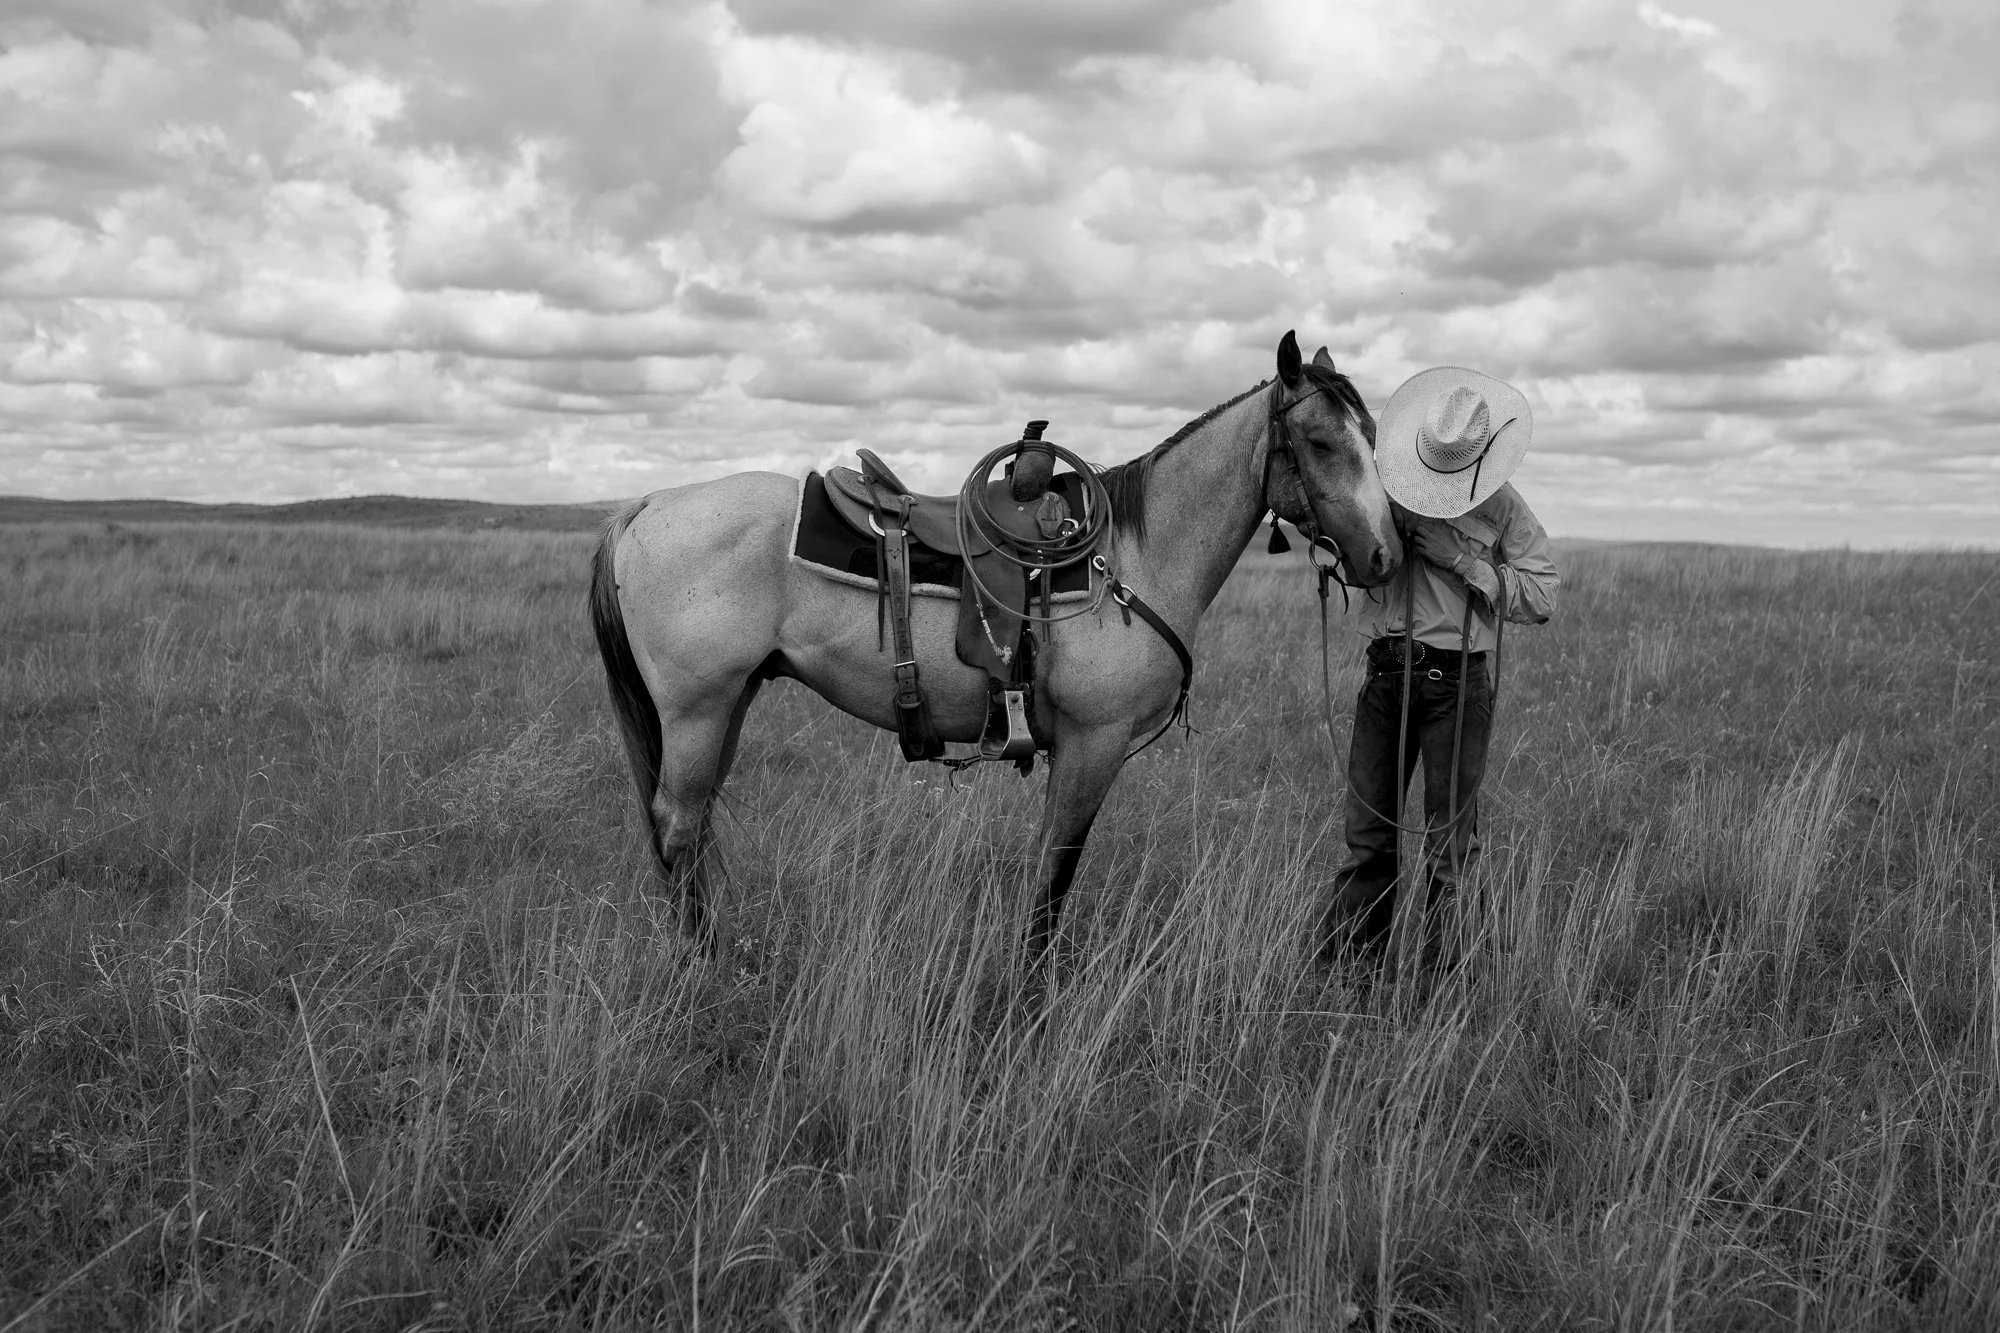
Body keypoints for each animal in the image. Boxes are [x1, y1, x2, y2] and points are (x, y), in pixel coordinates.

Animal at [589, 331, 1401, 963]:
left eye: (1370, 438)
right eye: (1321, 442)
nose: (1385, 555)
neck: (1135, 557)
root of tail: (647, 505)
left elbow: (1049, 865)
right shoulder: (1094, 742)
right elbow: (1055, 874)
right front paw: (1030, 987)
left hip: (726, 706)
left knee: (690, 829)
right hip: (697, 710)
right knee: (678, 827)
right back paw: (704, 965)